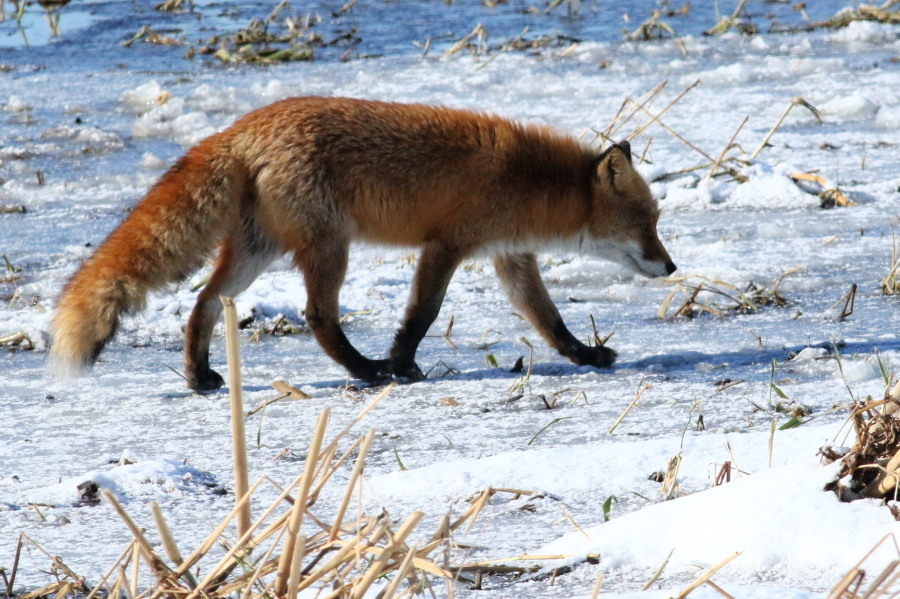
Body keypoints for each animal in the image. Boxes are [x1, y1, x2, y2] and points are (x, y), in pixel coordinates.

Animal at [51, 96, 676, 392]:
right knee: (318, 316)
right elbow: (423, 312)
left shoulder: (510, 257)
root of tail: (243, 127)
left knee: (204, 303)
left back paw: (200, 377)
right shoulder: (446, 245)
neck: (525, 182)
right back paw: (367, 370)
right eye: (645, 222)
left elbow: (549, 320)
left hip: (259, 249)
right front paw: (401, 363)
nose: (671, 267)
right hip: (331, 247)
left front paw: (587, 355)